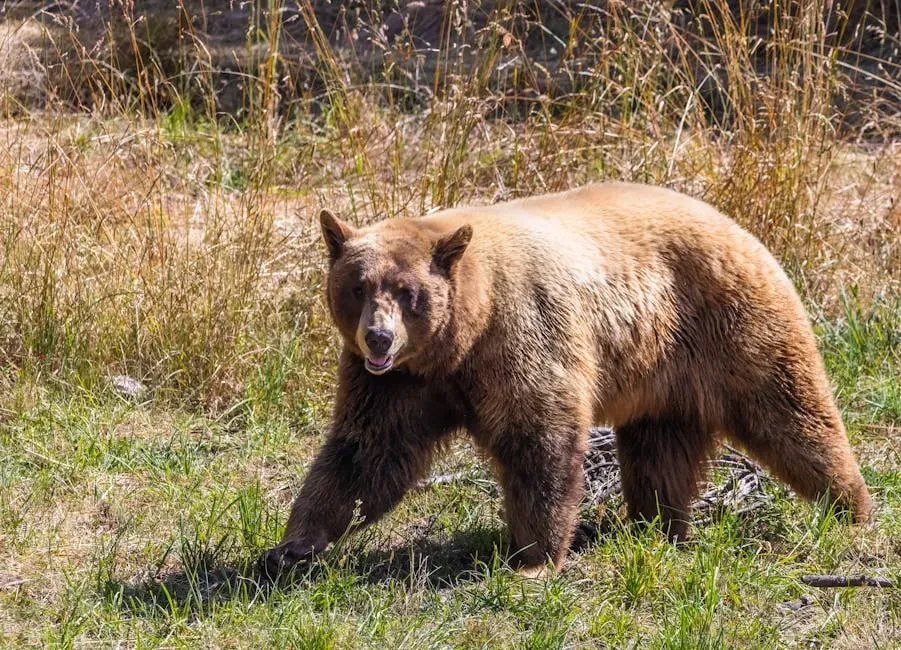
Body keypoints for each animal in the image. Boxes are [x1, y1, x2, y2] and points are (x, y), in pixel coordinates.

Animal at [258, 182, 872, 578]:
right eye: (358, 286)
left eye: (408, 292)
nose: (379, 339)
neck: (463, 335)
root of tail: (737, 223)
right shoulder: (402, 383)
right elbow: (366, 452)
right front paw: (291, 546)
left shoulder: (519, 336)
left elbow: (539, 437)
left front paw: (535, 557)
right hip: (661, 376)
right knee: (659, 452)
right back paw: (657, 524)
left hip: (732, 322)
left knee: (791, 412)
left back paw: (851, 508)